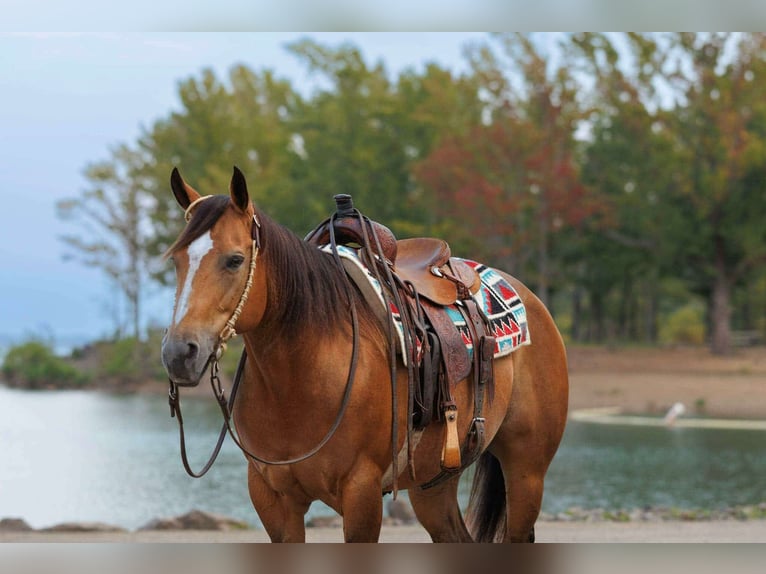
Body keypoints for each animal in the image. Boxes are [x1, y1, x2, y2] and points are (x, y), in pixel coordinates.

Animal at [161, 166, 569, 542]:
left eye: (234, 260)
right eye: (176, 259)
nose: (180, 353)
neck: (299, 380)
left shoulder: (362, 492)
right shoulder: (272, 500)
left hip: (526, 472)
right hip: (434, 484)